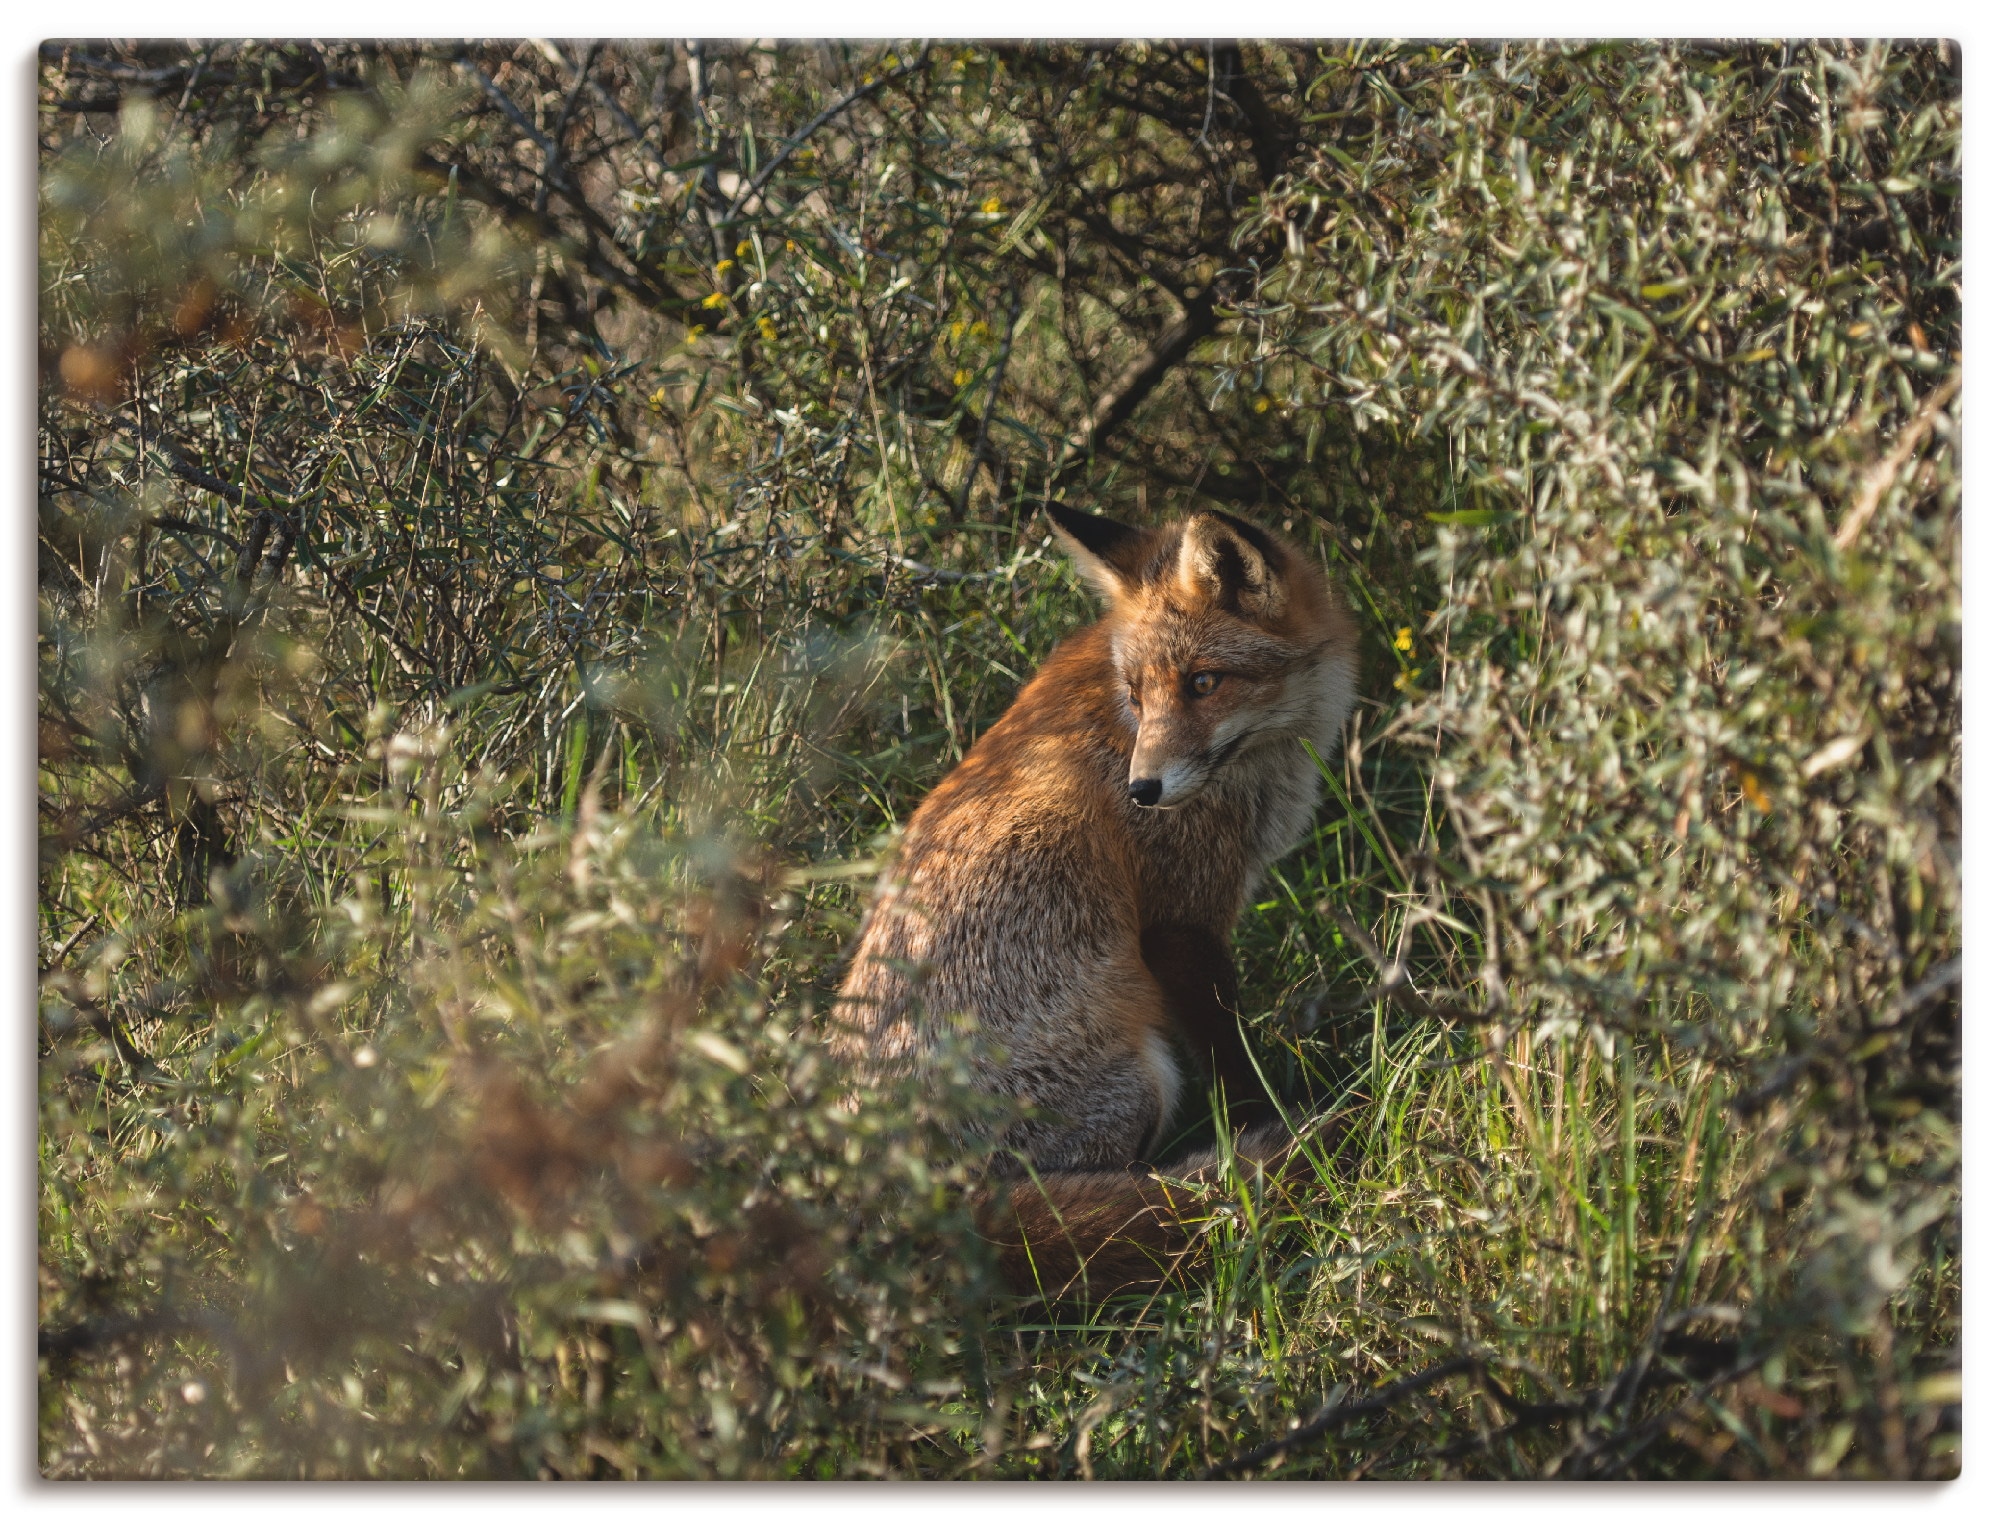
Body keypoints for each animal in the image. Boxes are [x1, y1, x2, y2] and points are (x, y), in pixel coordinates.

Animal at [831, 503, 1360, 1298]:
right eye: (1138, 695)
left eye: (1204, 682)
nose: (1143, 790)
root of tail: (892, 1206)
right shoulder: (1180, 921)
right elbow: (1234, 1060)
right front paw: (1262, 1118)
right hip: (1143, 1075)